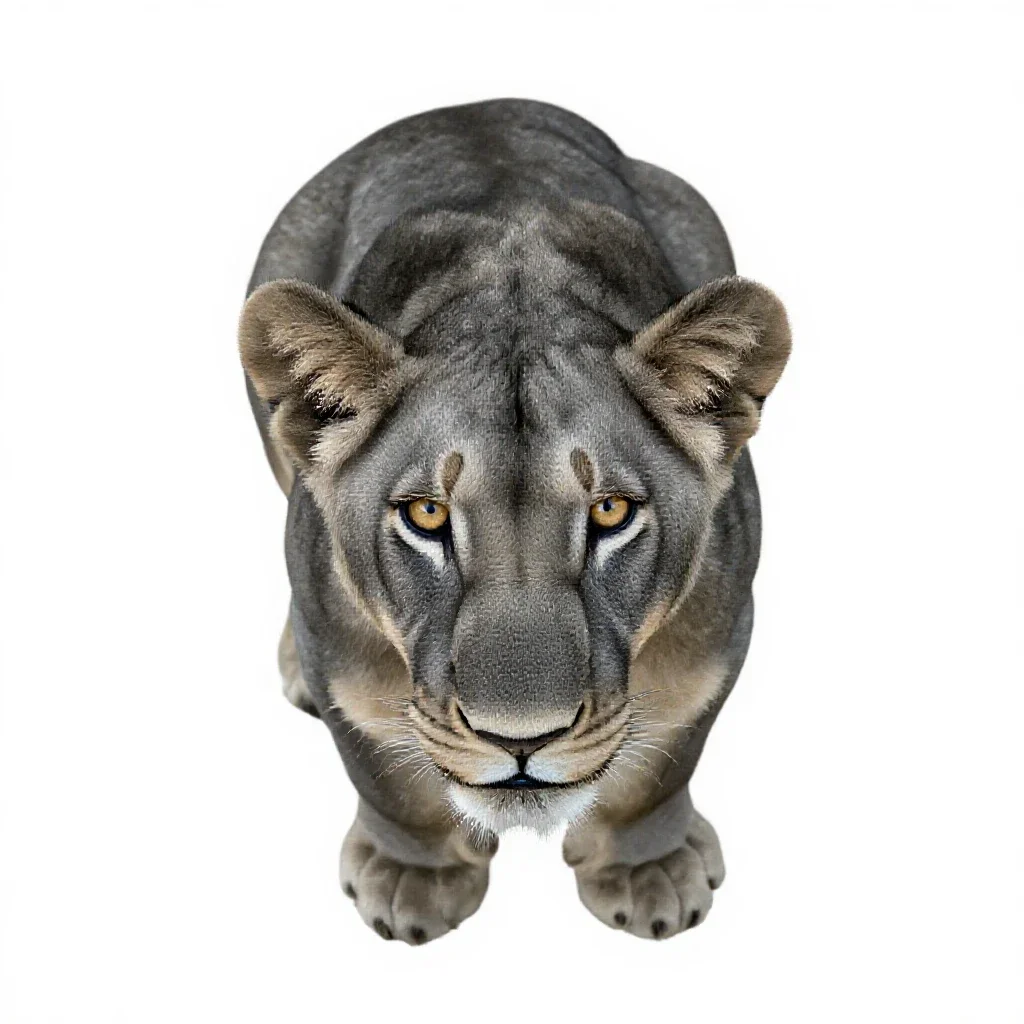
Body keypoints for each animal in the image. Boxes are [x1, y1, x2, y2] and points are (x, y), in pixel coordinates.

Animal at [238, 99, 790, 944]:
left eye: (610, 511)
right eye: (427, 514)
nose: (520, 740)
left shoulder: (718, 635)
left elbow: (665, 761)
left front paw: (649, 871)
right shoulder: (341, 651)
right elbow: (383, 772)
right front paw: (415, 880)